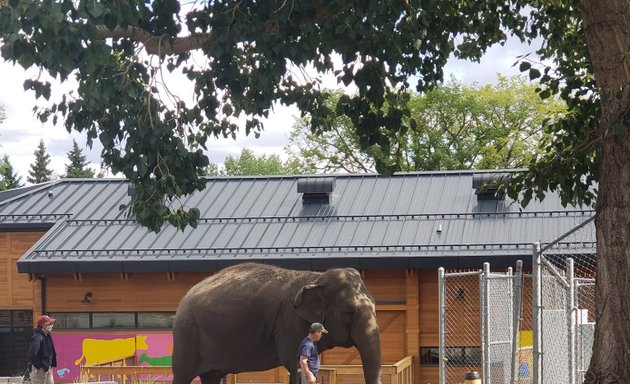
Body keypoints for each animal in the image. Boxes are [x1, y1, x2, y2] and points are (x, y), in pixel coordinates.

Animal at [170, 260, 382, 384]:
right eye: (350, 313)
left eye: (374, 306)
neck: (316, 277)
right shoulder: (289, 323)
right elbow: (295, 365)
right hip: (186, 335)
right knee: (182, 375)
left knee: (212, 376)